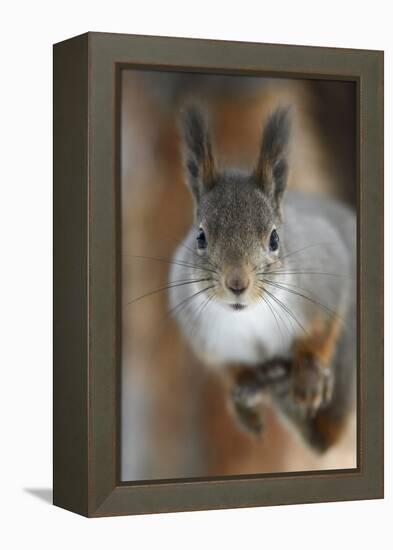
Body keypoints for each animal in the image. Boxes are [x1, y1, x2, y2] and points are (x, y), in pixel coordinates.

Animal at [168, 102, 356, 452]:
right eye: (200, 237)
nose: (237, 284)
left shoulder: (325, 280)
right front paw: (243, 391)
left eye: (274, 239)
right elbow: (230, 368)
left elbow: (322, 332)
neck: (249, 317)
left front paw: (309, 375)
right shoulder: (208, 339)